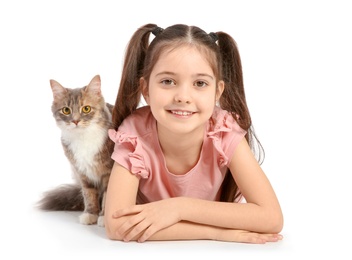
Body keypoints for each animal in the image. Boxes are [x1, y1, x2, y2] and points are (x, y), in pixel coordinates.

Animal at [38, 74, 115, 226]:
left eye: (86, 109)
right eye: (66, 110)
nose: (75, 121)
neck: (83, 137)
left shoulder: (109, 173)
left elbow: (108, 196)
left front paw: (103, 218)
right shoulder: (82, 173)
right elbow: (89, 195)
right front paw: (90, 214)